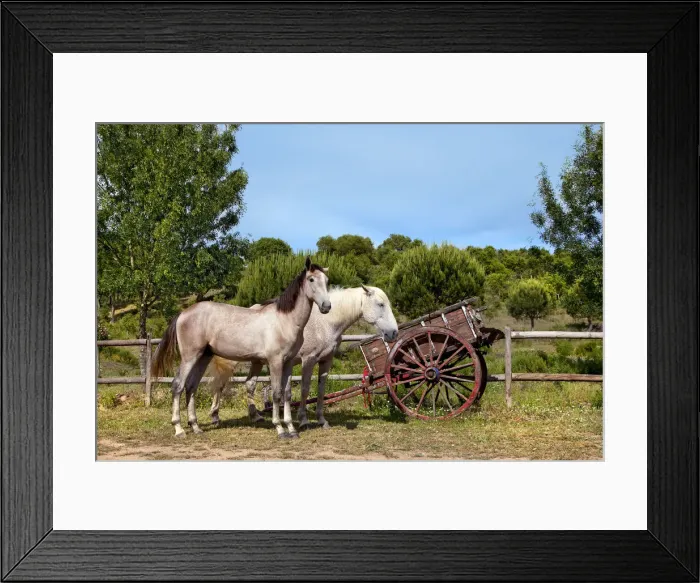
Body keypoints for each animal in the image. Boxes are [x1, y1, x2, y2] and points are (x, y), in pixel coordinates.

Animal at [150, 257, 331, 439]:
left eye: (326, 280)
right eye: (311, 279)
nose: (326, 306)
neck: (284, 321)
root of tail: (183, 314)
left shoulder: (288, 362)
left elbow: (286, 394)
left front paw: (291, 429)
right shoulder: (275, 362)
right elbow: (276, 394)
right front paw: (280, 429)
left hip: (203, 357)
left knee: (191, 387)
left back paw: (195, 426)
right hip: (189, 357)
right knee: (178, 385)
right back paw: (179, 429)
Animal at [206, 284, 399, 430]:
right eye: (380, 304)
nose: (393, 333)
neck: (325, 323)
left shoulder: (325, 361)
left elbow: (321, 390)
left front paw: (322, 420)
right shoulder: (309, 360)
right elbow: (305, 388)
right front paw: (303, 420)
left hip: (256, 361)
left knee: (250, 384)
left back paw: (255, 416)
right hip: (232, 360)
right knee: (221, 384)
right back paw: (215, 416)